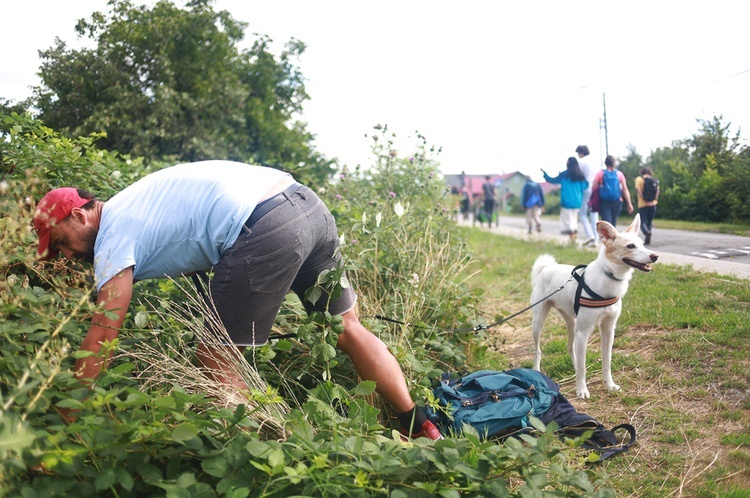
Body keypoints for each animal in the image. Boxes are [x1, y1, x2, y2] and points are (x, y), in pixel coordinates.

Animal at [532, 214, 660, 396]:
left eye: (643, 244)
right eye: (630, 246)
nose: (655, 256)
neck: (609, 276)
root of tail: (546, 268)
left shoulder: (608, 329)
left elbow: (606, 361)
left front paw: (610, 385)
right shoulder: (584, 331)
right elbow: (584, 368)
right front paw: (581, 390)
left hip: (572, 323)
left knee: (570, 347)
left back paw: (574, 366)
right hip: (539, 322)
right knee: (538, 350)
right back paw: (536, 370)